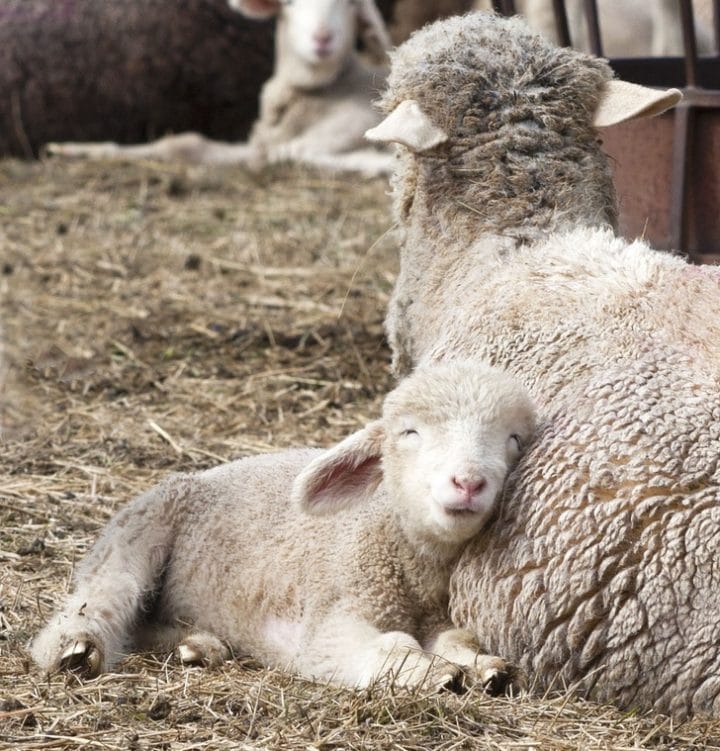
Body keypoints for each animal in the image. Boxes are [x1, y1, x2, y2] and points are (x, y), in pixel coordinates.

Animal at [31, 361, 536, 692]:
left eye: (514, 440)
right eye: (409, 433)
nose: (468, 482)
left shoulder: (434, 615)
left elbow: (457, 639)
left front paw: (484, 667)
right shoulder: (331, 617)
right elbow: (376, 648)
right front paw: (433, 672)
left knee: (144, 623)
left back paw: (199, 645)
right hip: (144, 527)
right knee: (108, 594)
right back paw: (75, 649)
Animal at [46, 0, 394, 176]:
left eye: (351, 4)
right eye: (289, 3)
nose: (322, 38)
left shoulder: (351, 122)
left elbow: (288, 153)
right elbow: (184, 145)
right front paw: (70, 149)